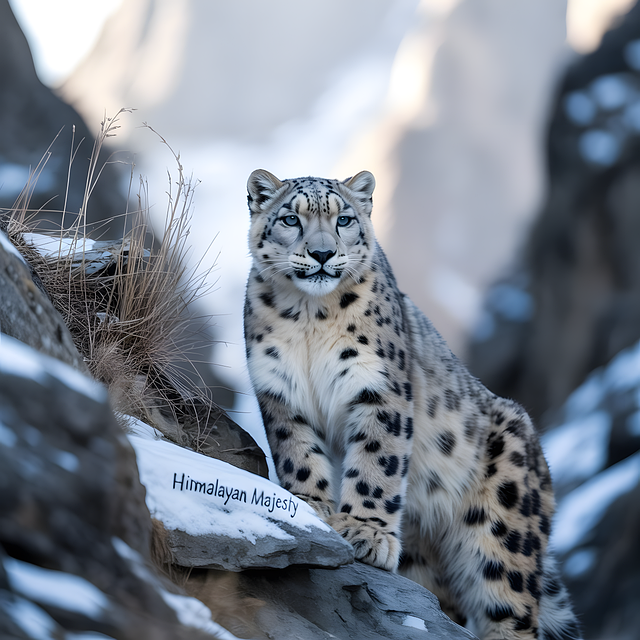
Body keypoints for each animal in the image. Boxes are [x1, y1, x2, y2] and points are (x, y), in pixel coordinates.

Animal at [243, 168, 581, 640]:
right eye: (291, 219)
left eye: (344, 219)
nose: (323, 252)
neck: (310, 317)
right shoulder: (279, 389)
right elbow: (298, 453)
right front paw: (310, 506)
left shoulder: (377, 387)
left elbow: (375, 461)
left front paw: (364, 533)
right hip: (427, 560)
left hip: (505, 527)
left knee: (509, 605)